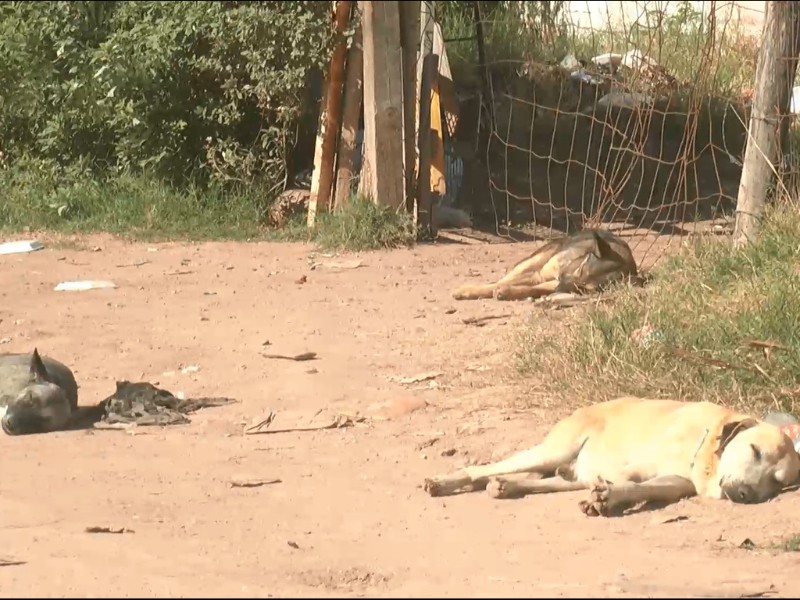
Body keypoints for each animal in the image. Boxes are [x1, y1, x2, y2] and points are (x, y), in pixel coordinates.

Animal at [424, 396, 800, 516]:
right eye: (754, 450)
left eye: (777, 482)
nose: (745, 494)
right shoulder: (636, 466)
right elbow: (628, 480)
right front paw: (609, 497)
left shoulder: (672, 482)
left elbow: (643, 487)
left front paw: (610, 499)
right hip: (552, 451)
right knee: (480, 468)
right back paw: (444, 482)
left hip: (570, 475)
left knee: (548, 482)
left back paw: (507, 486)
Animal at [454, 229, 640, 302]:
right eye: (580, 270)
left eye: (584, 289)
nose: (559, 288)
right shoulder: (541, 274)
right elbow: (498, 283)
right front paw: (466, 290)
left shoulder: (550, 282)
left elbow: (533, 289)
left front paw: (508, 292)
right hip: (536, 260)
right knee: (504, 278)